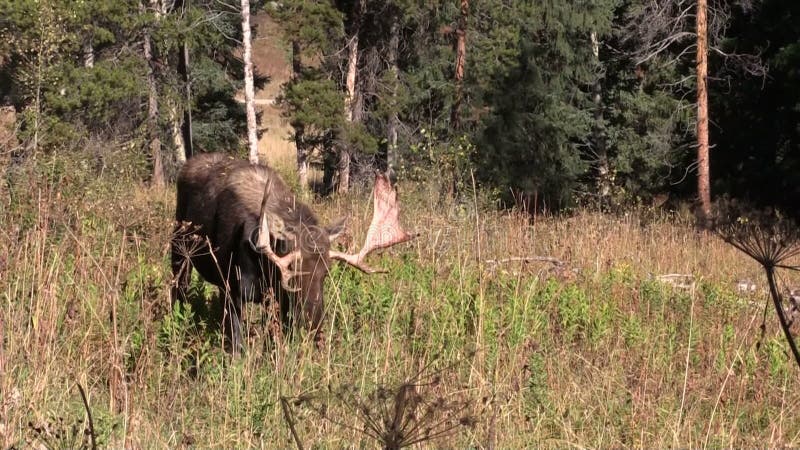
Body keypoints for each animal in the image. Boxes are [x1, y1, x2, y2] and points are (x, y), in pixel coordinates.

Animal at [173, 153, 416, 350]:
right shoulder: (231, 289)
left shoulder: (277, 299)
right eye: (293, 272)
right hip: (178, 249)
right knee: (178, 289)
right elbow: (236, 344)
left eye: (326, 272)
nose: (314, 323)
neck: (259, 265)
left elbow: (274, 343)